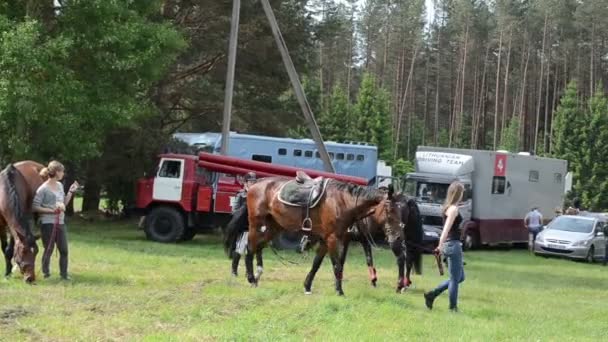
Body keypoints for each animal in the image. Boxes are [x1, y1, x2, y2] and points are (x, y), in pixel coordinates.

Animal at [235, 178, 382, 296]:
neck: (342, 201)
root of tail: (254, 185)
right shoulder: (333, 238)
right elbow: (337, 264)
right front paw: (339, 291)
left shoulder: (328, 240)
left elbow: (317, 263)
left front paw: (307, 286)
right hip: (257, 225)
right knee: (250, 248)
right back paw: (251, 278)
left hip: (272, 228)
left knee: (258, 247)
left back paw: (256, 277)